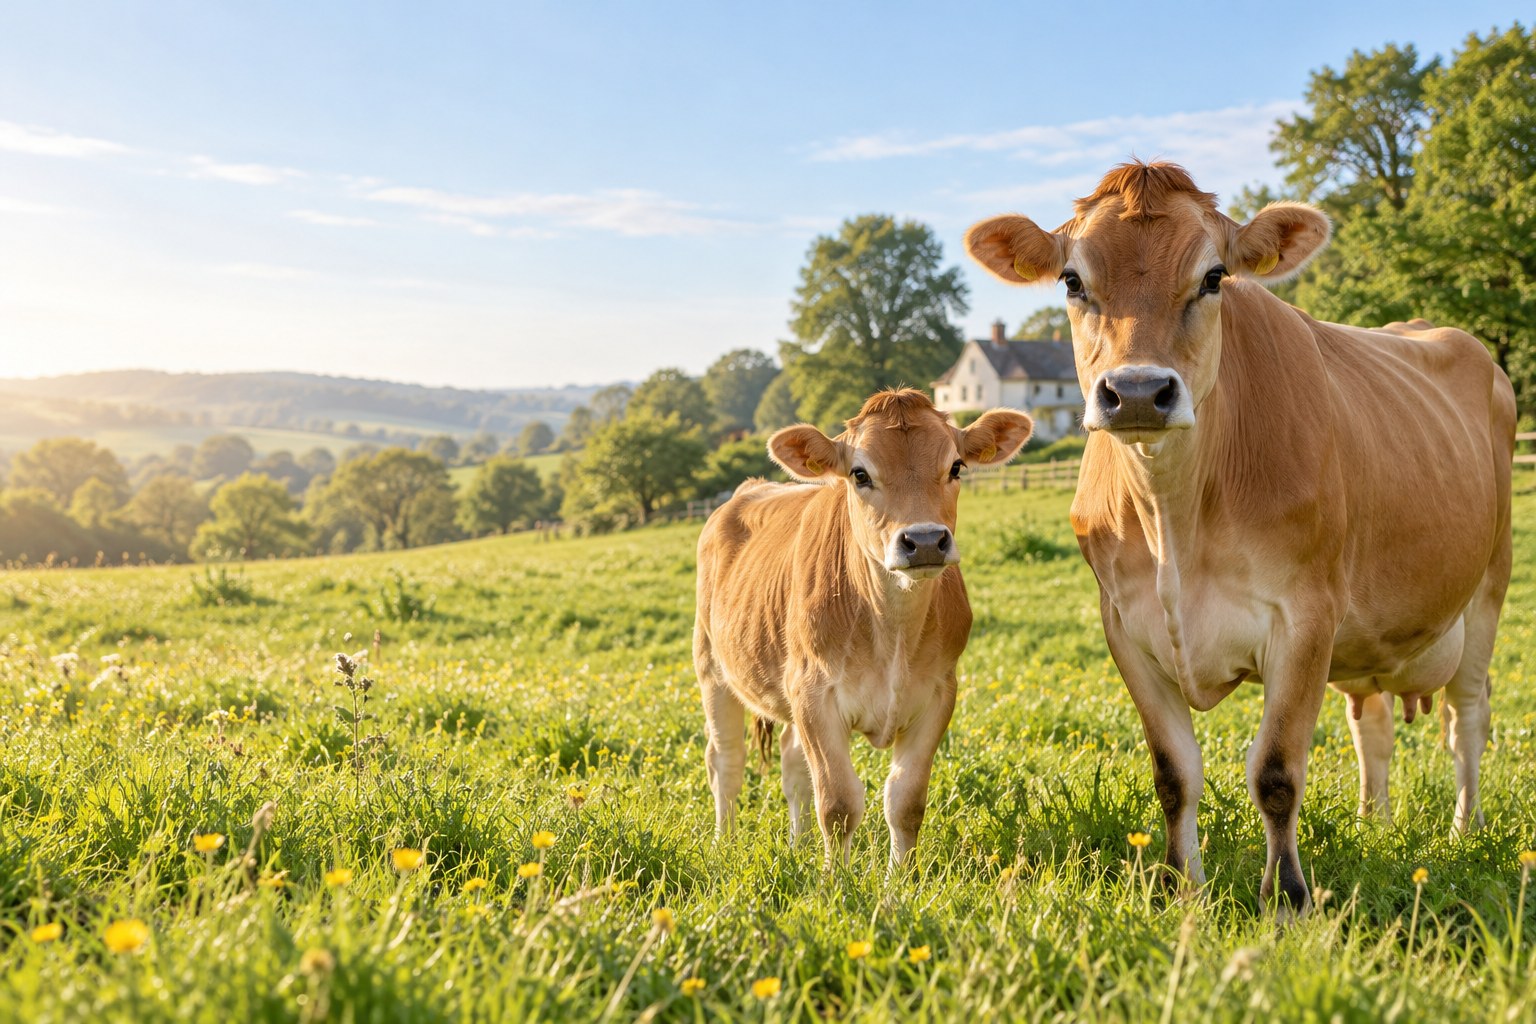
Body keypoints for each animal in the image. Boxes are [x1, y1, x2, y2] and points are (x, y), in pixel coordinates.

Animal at [693, 389, 1033, 864]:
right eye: (859, 473)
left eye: (956, 467)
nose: (924, 541)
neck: (892, 630)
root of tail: (751, 488)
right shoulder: (814, 694)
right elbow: (838, 804)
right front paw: (835, 879)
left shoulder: (938, 693)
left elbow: (905, 803)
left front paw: (900, 880)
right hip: (712, 668)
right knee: (726, 760)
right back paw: (724, 843)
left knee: (791, 764)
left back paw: (798, 847)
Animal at [965, 161, 1515, 914]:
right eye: (1072, 280)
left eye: (1214, 276)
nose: (1139, 392)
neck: (1173, 521)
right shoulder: (1126, 628)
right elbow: (1174, 773)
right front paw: (1180, 888)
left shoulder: (1305, 618)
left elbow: (1277, 773)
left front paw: (1287, 898)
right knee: (1371, 724)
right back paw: (1374, 822)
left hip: (1488, 588)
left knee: (1469, 718)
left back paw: (1466, 828)